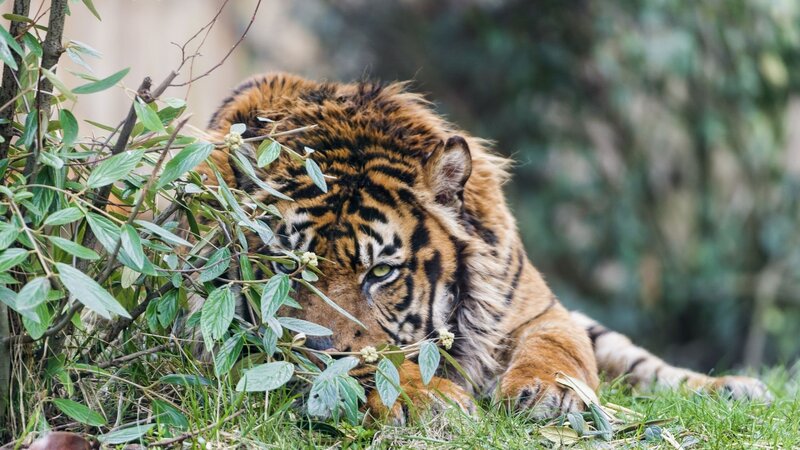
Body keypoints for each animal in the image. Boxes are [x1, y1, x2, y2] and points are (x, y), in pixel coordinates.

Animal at [196, 72, 771, 422]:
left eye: (380, 273)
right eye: (286, 266)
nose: (312, 350)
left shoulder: (537, 310)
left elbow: (559, 348)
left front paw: (552, 393)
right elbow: (373, 364)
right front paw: (427, 397)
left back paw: (738, 388)